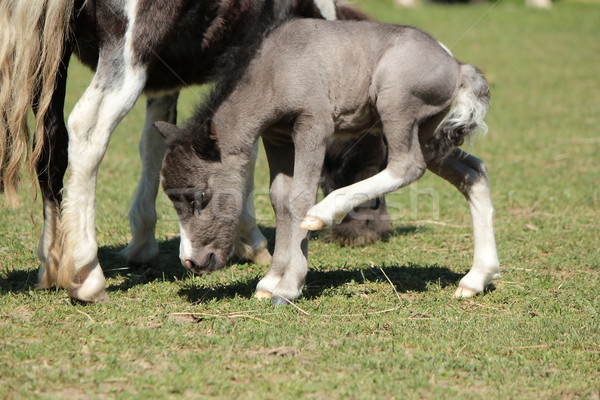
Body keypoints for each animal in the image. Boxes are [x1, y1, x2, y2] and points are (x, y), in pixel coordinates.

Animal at [0, 0, 386, 300]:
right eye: (379, 152)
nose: (368, 232)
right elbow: (242, 151)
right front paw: (251, 239)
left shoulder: (165, 75)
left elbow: (154, 142)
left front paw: (142, 242)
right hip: (128, 50)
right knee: (87, 130)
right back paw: (86, 274)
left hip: (48, 56)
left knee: (50, 146)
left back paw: (52, 263)